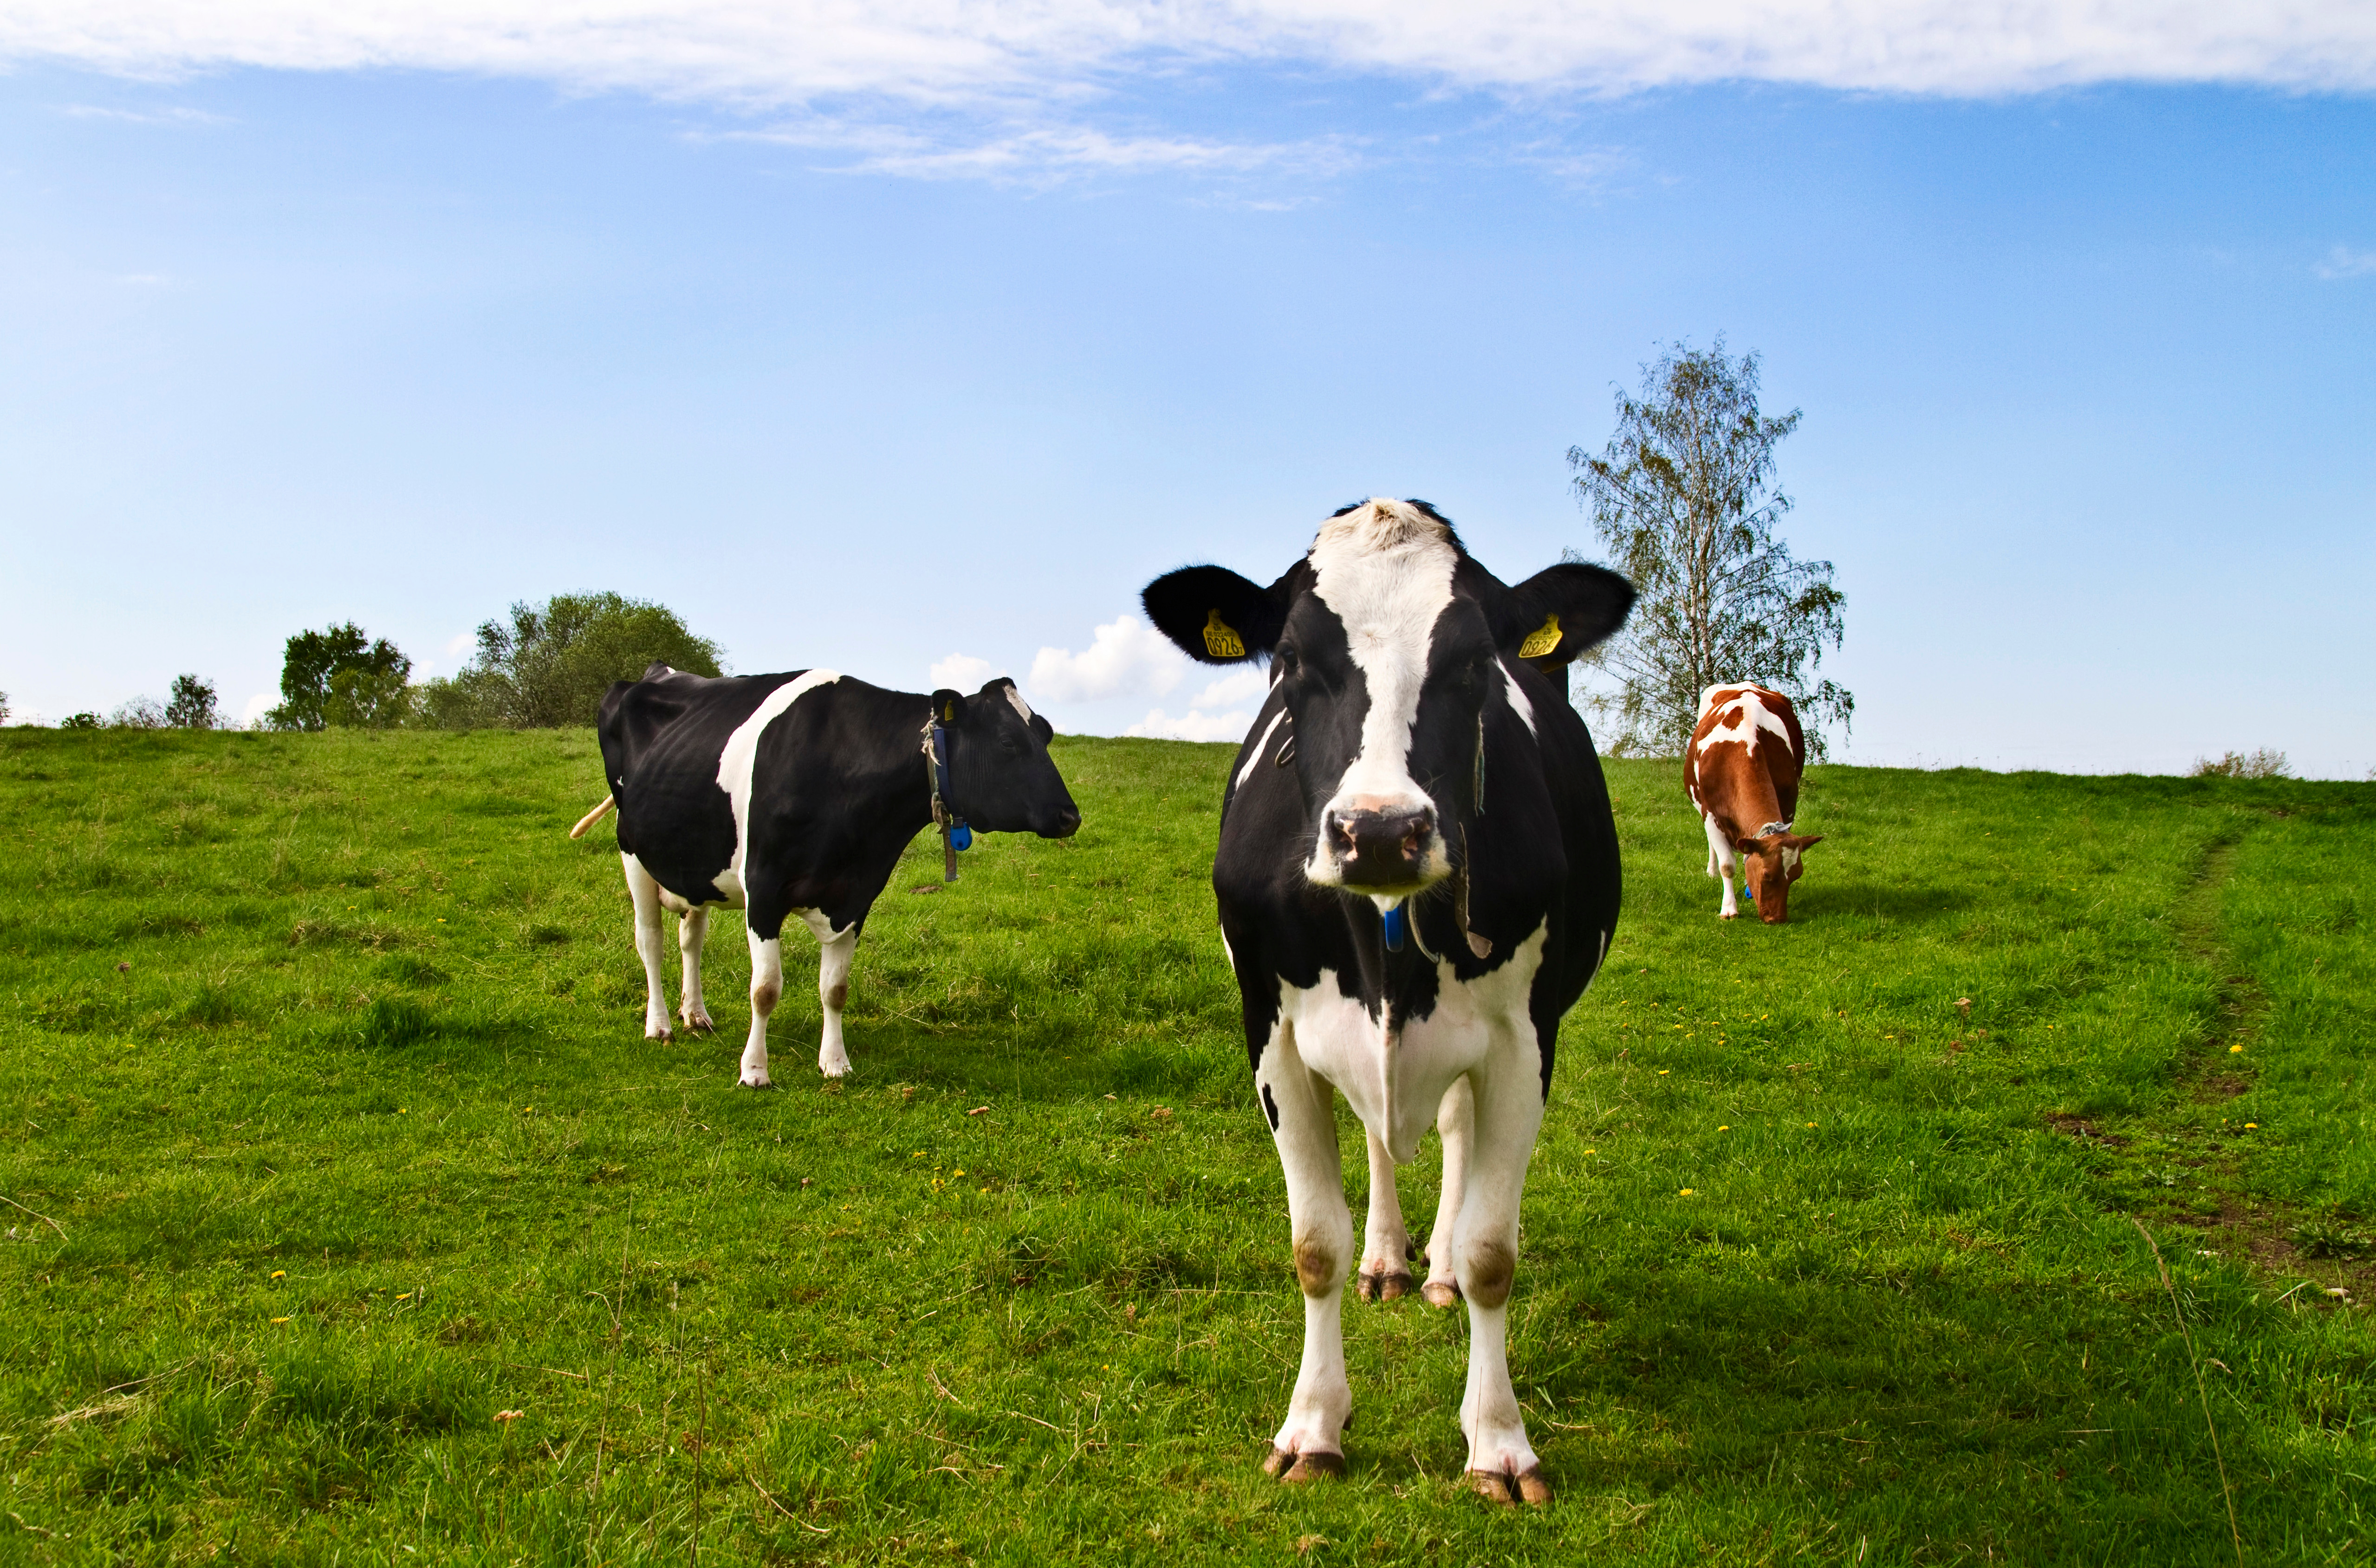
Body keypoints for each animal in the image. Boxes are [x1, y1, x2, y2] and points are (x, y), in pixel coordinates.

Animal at [1692, 684, 1815, 927]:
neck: (1745, 746)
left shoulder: (1789, 807)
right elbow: (1727, 865)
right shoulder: (1710, 813)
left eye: (1797, 875)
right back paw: (1711, 872)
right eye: (1767, 875)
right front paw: (1729, 909)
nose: (1777, 919)